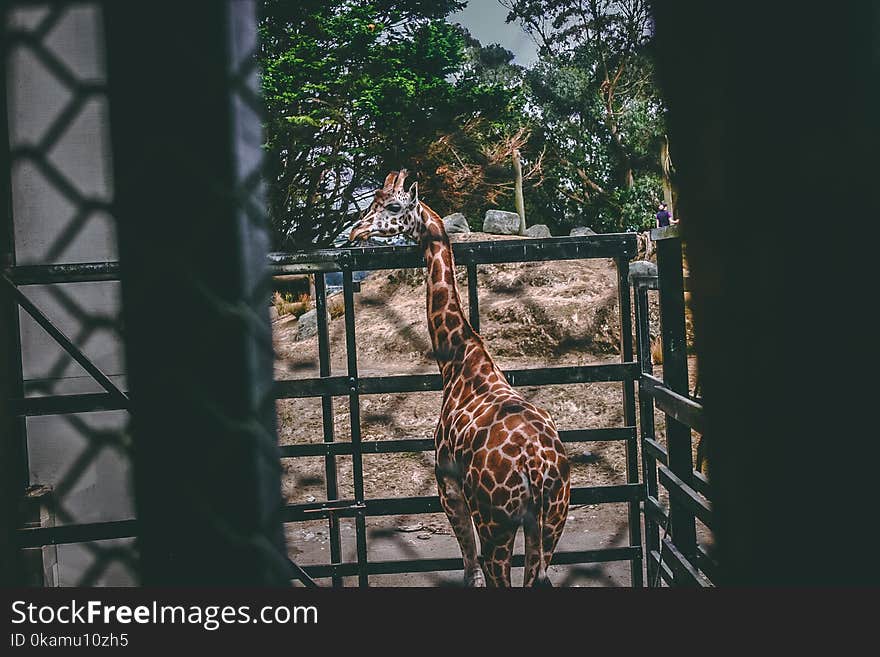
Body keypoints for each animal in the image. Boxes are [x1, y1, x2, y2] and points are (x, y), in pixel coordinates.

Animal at [350, 168, 572, 584]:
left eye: (392, 206)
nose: (355, 230)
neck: (457, 360)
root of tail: (538, 467)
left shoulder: (447, 486)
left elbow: (469, 569)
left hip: (496, 523)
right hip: (553, 519)